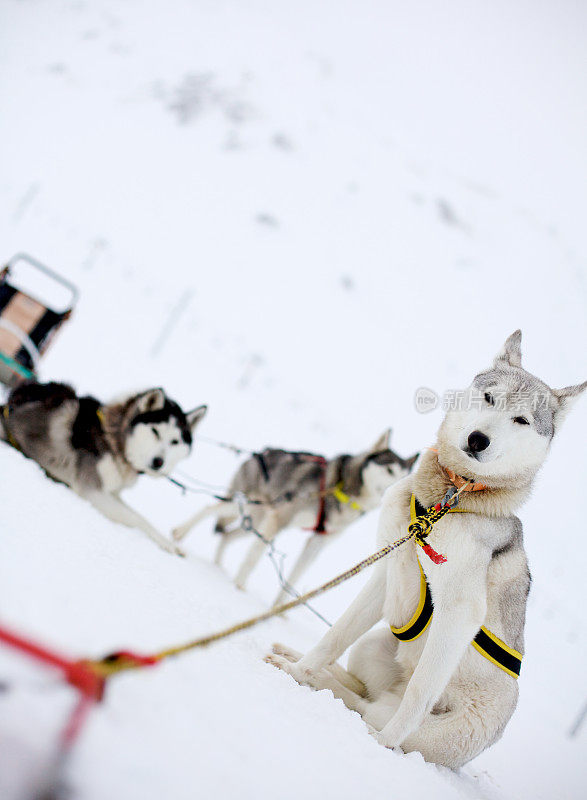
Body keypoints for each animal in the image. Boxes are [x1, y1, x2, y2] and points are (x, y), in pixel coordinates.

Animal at [1, 382, 208, 556]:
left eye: (174, 441)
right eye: (155, 432)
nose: (159, 462)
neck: (114, 439)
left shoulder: (113, 492)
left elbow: (137, 514)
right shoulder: (93, 491)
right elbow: (137, 519)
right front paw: (168, 544)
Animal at [172, 432, 420, 600]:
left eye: (404, 475)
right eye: (389, 470)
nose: (400, 487)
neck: (342, 490)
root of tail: (261, 453)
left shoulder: (317, 542)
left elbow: (294, 577)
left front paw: (278, 610)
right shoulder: (280, 520)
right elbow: (253, 558)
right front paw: (239, 586)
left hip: (255, 522)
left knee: (227, 535)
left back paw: (217, 566)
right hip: (243, 505)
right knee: (209, 509)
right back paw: (178, 533)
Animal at [268, 332, 587, 768]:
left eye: (521, 420)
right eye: (489, 397)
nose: (478, 439)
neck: (448, 500)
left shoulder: (460, 612)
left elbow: (420, 692)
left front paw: (383, 745)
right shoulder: (386, 570)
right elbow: (336, 635)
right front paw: (300, 671)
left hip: (422, 720)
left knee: (370, 709)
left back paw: (358, 713)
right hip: (374, 645)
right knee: (358, 688)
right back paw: (303, 665)